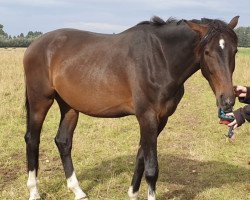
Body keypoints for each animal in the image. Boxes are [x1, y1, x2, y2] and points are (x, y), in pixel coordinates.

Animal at [24, 16, 239, 200]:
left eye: (234, 51)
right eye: (207, 52)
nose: (227, 100)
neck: (160, 59)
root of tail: (35, 45)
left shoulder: (160, 119)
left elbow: (141, 157)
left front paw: (133, 193)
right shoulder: (147, 116)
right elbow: (152, 168)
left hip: (69, 106)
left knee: (63, 141)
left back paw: (77, 190)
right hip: (40, 101)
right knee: (32, 139)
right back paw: (34, 191)